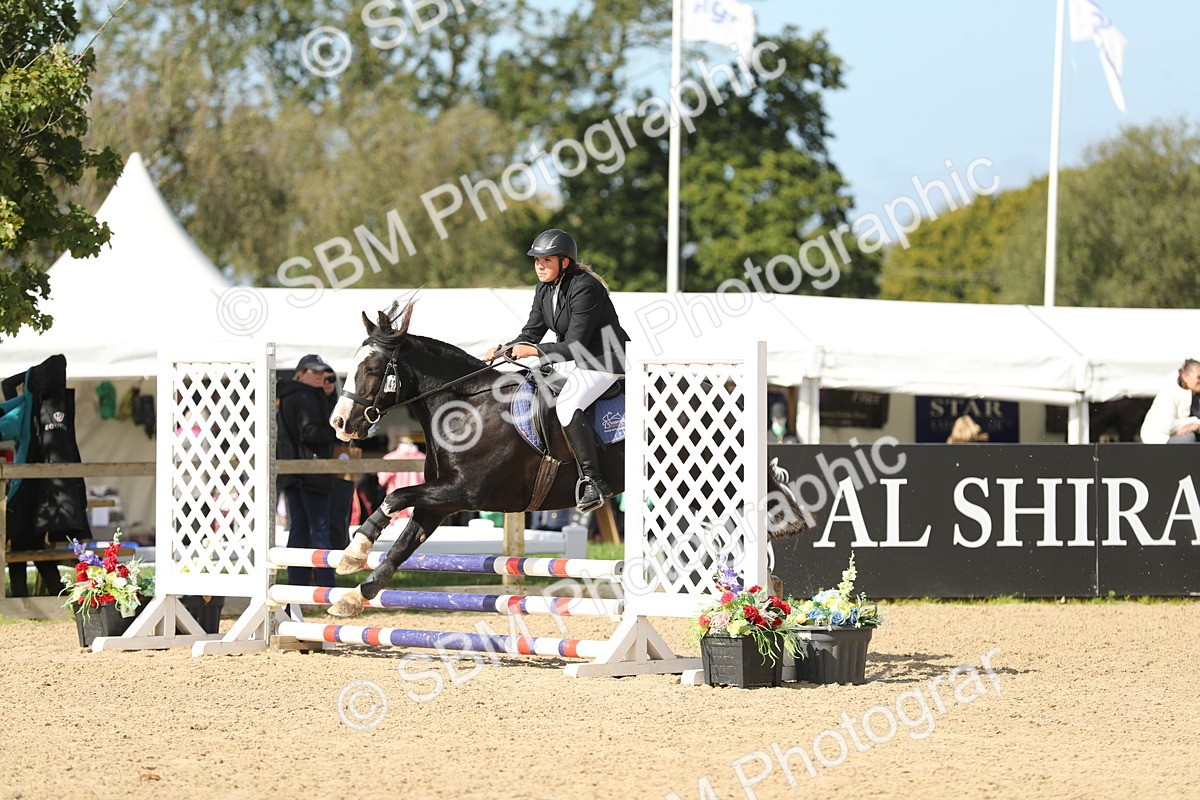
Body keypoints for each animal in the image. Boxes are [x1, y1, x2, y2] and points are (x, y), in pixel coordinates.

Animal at [324, 301, 811, 617]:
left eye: (372, 369)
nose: (339, 423)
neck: (466, 408)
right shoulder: (440, 502)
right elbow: (401, 544)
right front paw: (354, 592)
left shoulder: (465, 492)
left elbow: (394, 498)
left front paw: (352, 555)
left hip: (709, 476)